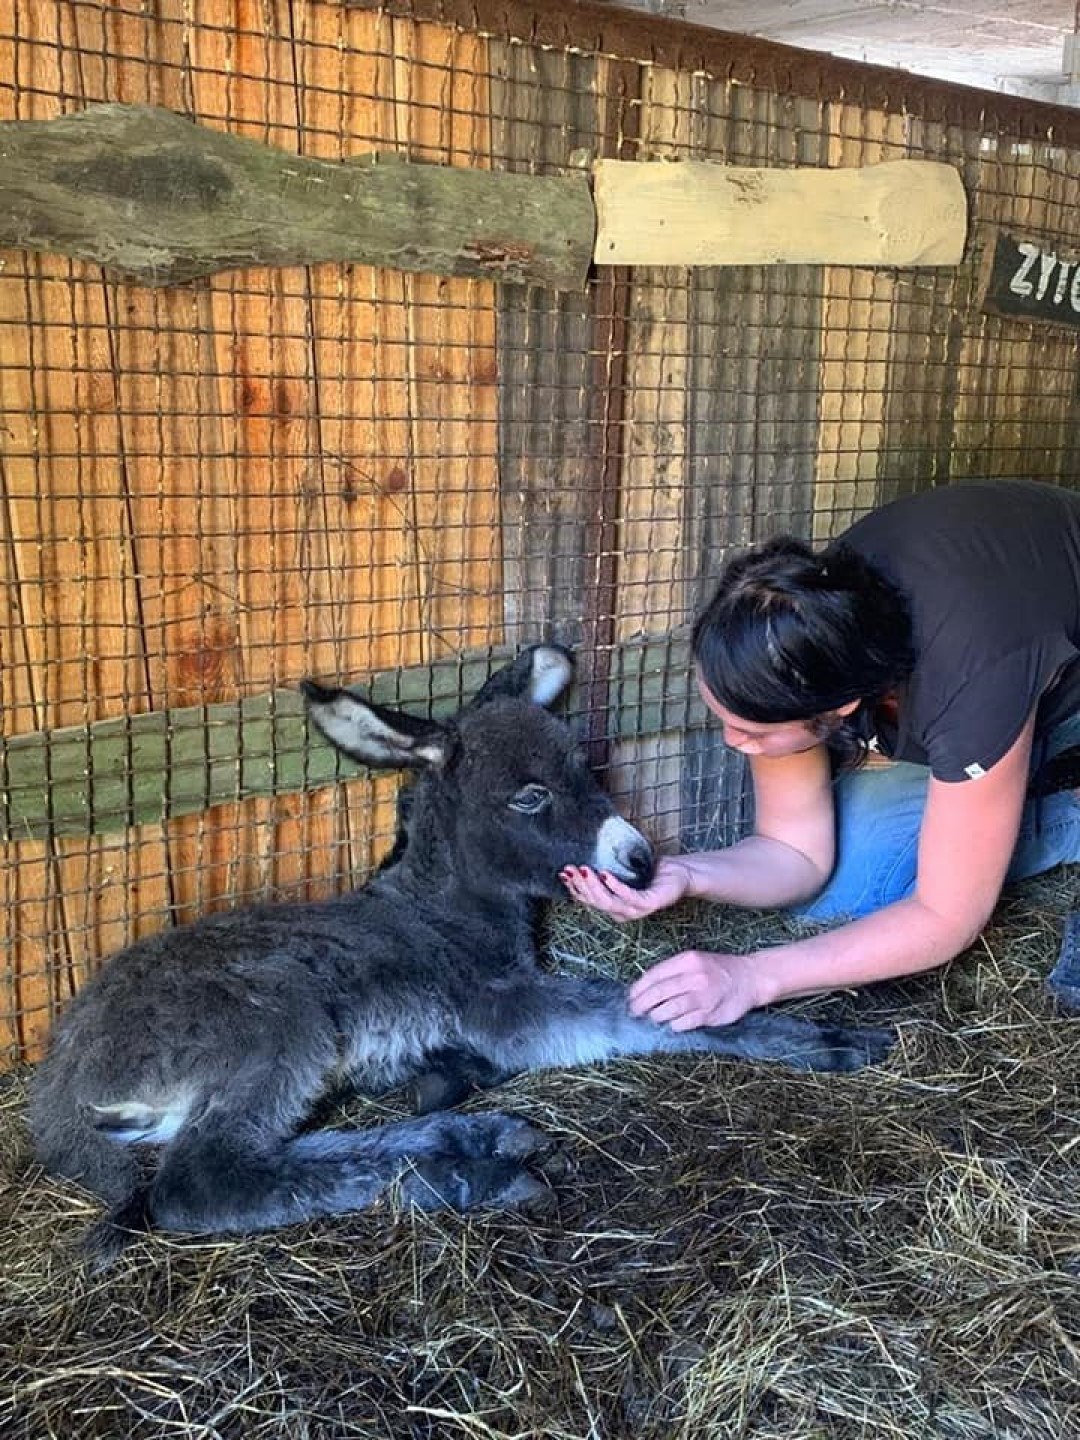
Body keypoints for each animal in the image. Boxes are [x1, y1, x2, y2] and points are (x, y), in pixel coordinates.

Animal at [31, 645, 898, 1249]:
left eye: (585, 766)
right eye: (528, 796)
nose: (641, 861)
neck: (444, 917)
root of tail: (61, 1079)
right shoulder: (506, 1008)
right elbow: (641, 1010)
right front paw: (824, 1037)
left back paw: (479, 1137)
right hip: (273, 1020)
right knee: (203, 1182)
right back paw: (474, 1175)